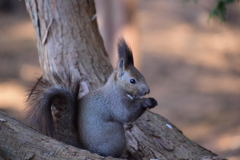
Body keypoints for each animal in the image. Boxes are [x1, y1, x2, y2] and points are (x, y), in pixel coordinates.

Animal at [25, 38, 158, 158]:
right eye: (132, 81)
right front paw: (146, 102)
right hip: (115, 134)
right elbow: (126, 114)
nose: (147, 91)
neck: (117, 88)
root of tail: (87, 148)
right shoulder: (115, 102)